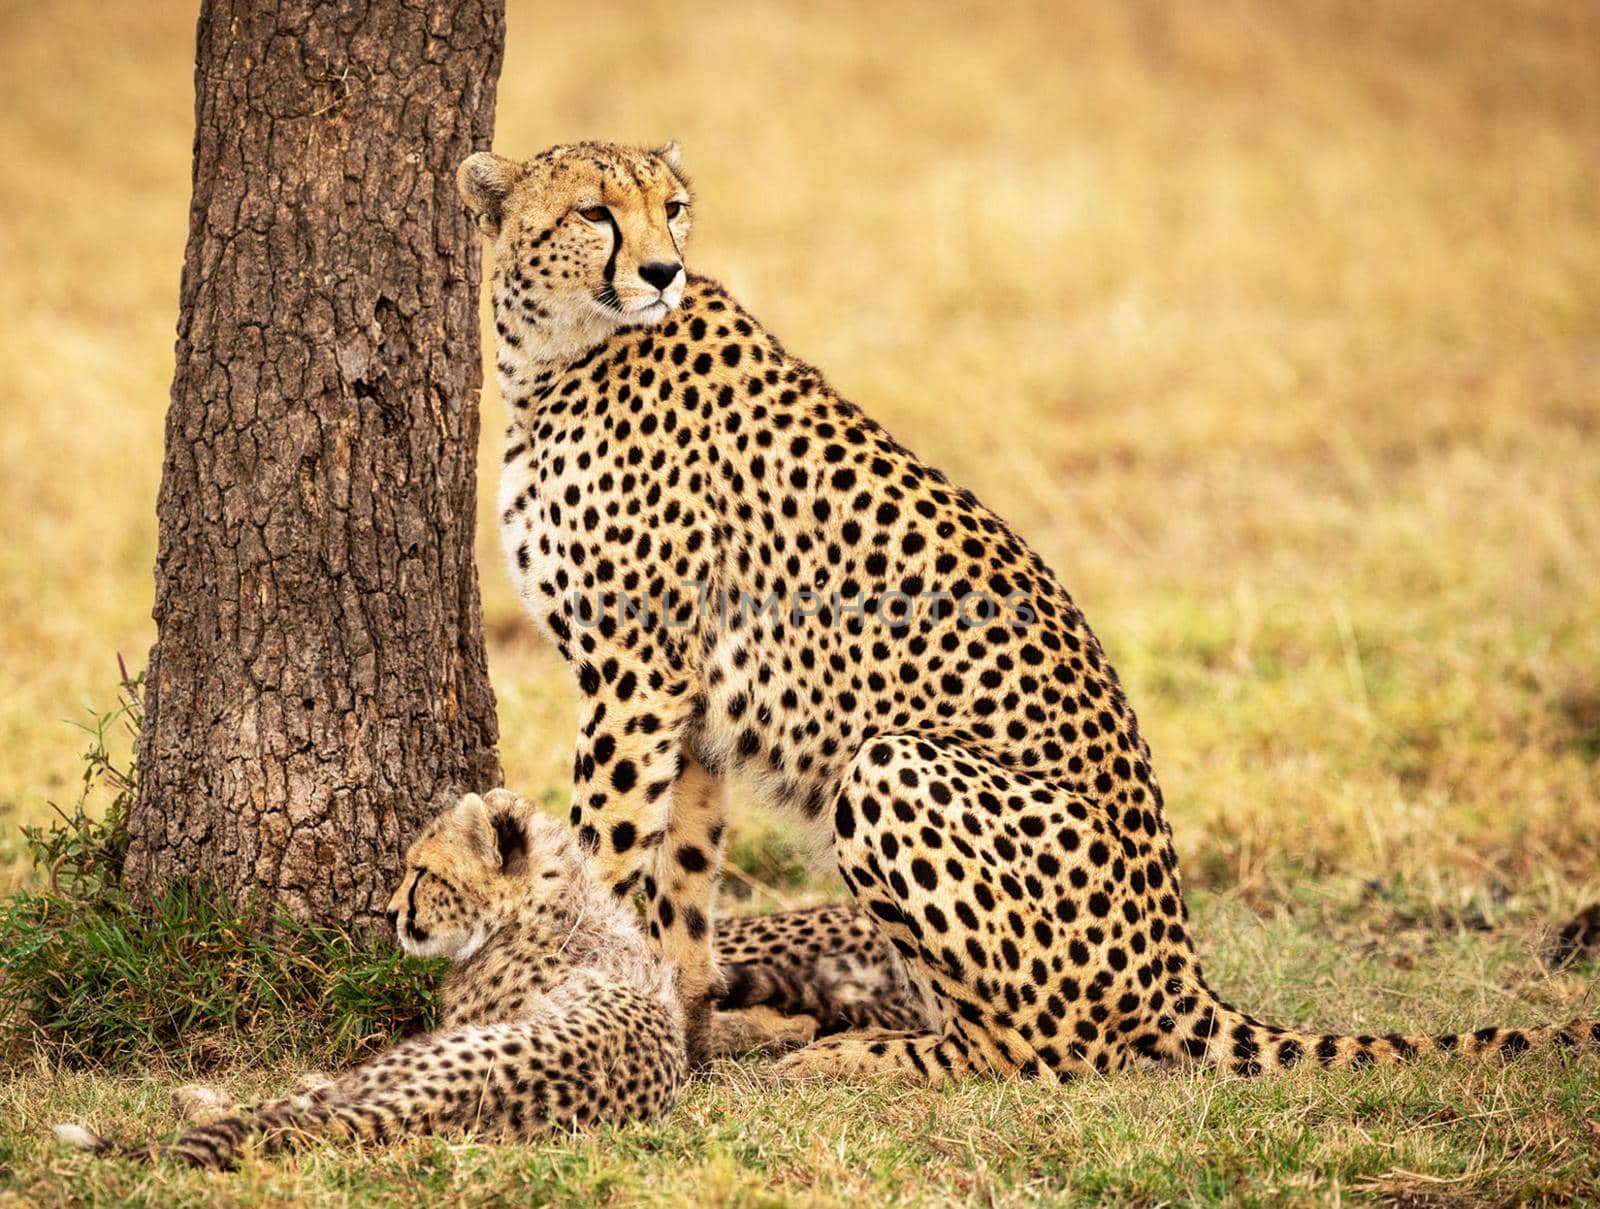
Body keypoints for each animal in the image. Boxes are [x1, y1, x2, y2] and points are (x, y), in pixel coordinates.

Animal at [457, 139, 1593, 1074]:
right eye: (596, 212)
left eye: (674, 208)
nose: (661, 272)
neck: (554, 356)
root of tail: (1179, 963)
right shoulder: (684, 699)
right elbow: (681, 882)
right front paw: (680, 1026)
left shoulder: (636, 672)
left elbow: (603, 848)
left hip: (893, 764)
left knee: (1043, 1050)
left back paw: (858, 1056)